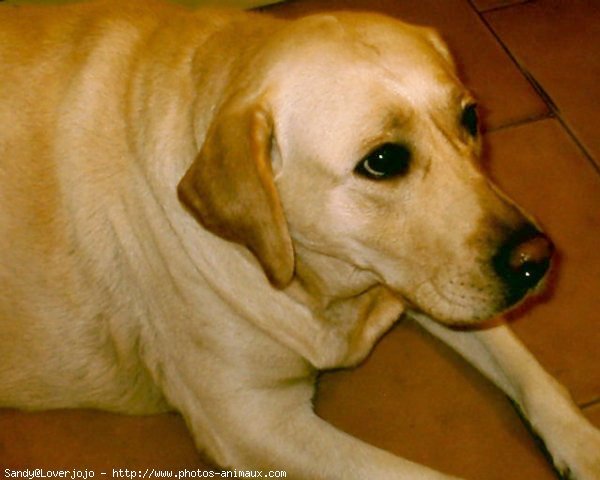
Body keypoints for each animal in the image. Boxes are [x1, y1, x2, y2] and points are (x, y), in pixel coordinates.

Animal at [1, 0, 600, 478]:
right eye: (383, 160)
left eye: (470, 118)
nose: (537, 260)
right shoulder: (253, 421)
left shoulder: (435, 289)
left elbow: (531, 372)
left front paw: (585, 446)